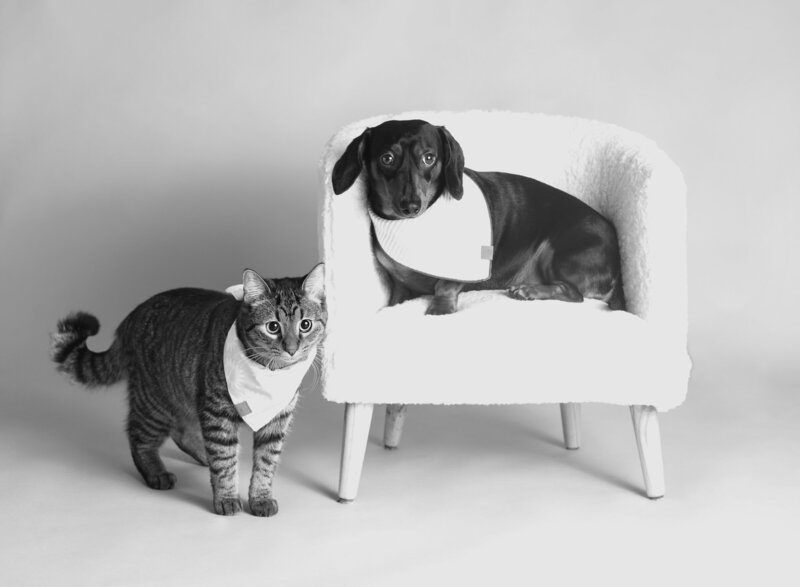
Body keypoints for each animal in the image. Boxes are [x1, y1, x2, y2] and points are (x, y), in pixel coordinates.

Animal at [50, 264, 324, 516]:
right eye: (273, 327)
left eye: (305, 325)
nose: (291, 349)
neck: (270, 372)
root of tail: (131, 317)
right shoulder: (217, 413)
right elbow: (224, 461)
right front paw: (226, 498)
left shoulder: (277, 420)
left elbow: (266, 463)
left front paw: (260, 499)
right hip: (154, 403)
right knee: (138, 437)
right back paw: (157, 473)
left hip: (185, 396)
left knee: (182, 432)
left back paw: (203, 455)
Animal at [332, 119, 624, 316]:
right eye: (387, 158)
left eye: (429, 158)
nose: (411, 206)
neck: (410, 228)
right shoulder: (398, 285)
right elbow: (396, 296)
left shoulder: (460, 266)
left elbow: (445, 286)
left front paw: (440, 308)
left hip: (558, 253)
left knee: (574, 294)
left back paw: (529, 291)